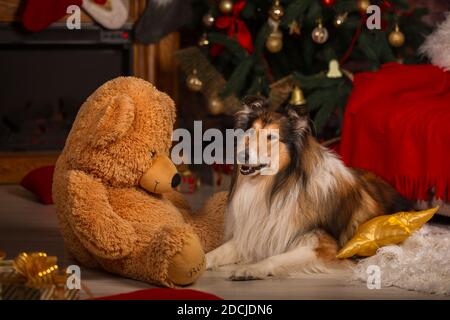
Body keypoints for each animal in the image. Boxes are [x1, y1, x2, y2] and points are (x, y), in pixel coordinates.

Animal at [206, 95, 410, 280]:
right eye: (249, 133)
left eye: (271, 137)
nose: (242, 155)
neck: (275, 187)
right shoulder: (255, 233)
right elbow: (218, 251)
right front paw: (203, 260)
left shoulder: (323, 246)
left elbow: (275, 258)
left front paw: (251, 269)